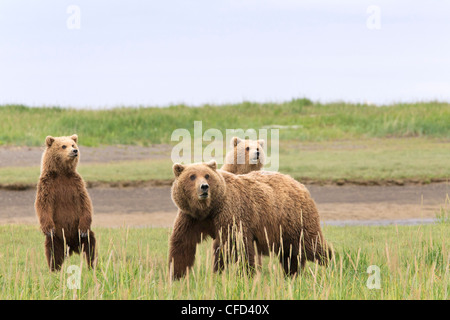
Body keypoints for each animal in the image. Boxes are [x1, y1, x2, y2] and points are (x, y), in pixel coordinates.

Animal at [167, 161, 332, 278]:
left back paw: (332, 264)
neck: (209, 208)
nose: (204, 187)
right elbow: (183, 244)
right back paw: (292, 274)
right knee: (290, 253)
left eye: (207, 175)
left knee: (311, 245)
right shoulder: (190, 217)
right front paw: (176, 274)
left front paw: (246, 274)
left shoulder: (230, 213)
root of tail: (299, 184)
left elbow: (238, 244)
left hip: (295, 218)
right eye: (192, 176)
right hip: (284, 229)